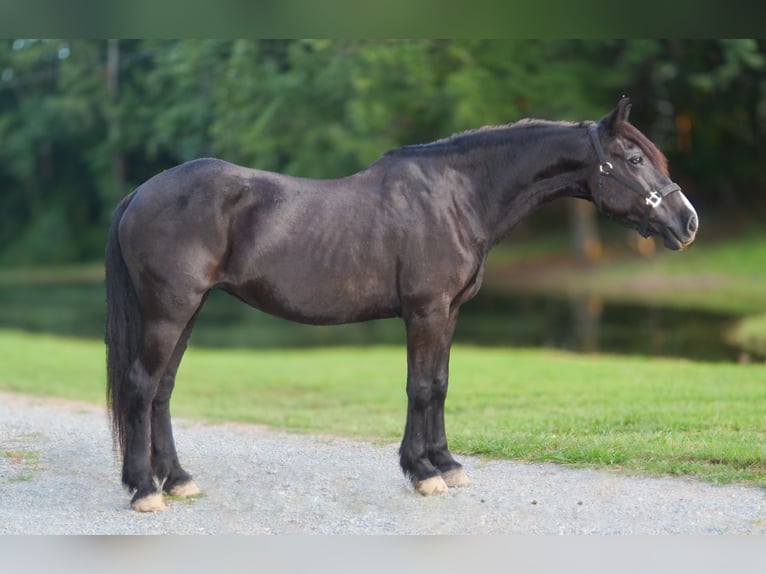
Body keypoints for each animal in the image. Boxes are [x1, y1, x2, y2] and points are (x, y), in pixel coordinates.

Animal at [108, 98, 704, 512]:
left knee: (162, 390)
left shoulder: (450, 312)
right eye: (633, 158)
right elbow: (420, 387)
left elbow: (439, 385)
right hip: (170, 311)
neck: (457, 196)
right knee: (141, 387)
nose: (688, 223)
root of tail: (139, 193)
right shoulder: (426, 310)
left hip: (188, 311)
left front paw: (446, 463)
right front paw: (422, 472)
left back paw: (178, 480)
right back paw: (144, 489)